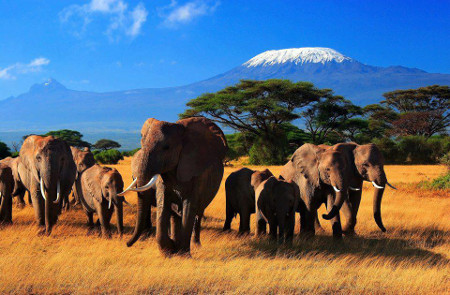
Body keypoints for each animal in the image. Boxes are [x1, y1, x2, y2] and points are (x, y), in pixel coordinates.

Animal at [118, 117, 229, 256]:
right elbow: (163, 203)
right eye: (142, 144)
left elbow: (189, 207)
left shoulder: (196, 173)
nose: (127, 244)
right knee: (175, 215)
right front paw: (170, 250)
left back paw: (195, 246)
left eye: (166, 147)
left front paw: (184, 254)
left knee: (198, 214)